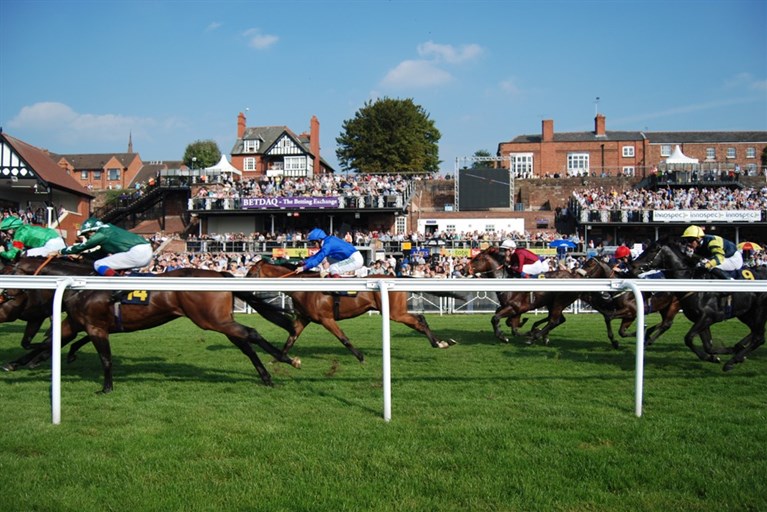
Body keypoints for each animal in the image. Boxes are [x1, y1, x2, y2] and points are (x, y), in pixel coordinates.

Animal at [4, 258, 302, 394]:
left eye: (9, 270)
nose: (4, 295)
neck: (82, 286)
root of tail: (219, 274)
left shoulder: (95, 327)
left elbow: (105, 358)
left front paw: (106, 388)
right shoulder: (75, 322)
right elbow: (49, 341)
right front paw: (16, 364)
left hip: (210, 320)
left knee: (251, 334)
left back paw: (287, 359)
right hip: (219, 320)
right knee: (245, 343)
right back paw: (267, 375)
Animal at [246, 258, 460, 362]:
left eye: (250, 272)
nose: (242, 284)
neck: (304, 287)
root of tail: (396, 275)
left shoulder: (326, 319)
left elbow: (344, 339)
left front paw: (360, 356)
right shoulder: (303, 319)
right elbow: (290, 339)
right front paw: (280, 359)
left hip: (394, 312)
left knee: (419, 320)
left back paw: (439, 343)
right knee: (420, 320)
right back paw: (441, 342)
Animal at [632, 238, 764, 370]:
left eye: (652, 250)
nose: (632, 266)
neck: (692, 282)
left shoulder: (708, 317)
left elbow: (688, 338)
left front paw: (713, 356)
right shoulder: (701, 320)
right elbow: (708, 346)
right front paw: (715, 356)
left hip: (758, 311)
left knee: (759, 337)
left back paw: (732, 361)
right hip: (745, 313)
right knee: (755, 332)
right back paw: (738, 350)